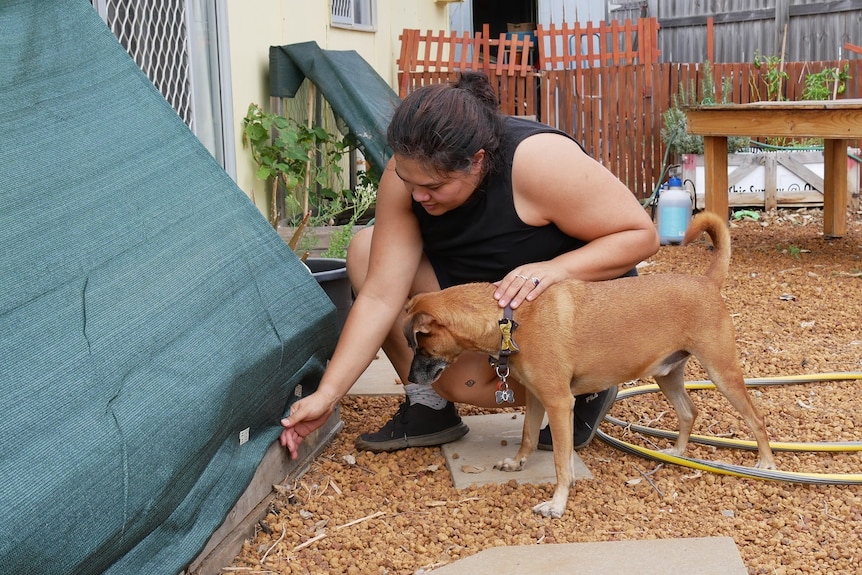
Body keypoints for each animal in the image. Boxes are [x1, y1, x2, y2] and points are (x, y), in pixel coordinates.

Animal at [408, 210, 780, 516]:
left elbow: (561, 460)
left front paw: (557, 503)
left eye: (419, 344)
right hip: (668, 374)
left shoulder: (559, 404)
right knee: (689, 412)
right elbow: (528, 436)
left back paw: (765, 462)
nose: (410, 377)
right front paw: (517, 464)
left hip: (722, 372)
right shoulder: (537, 398)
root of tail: (706, 281)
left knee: (757, 418)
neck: (509, 317)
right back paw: (677, 451)